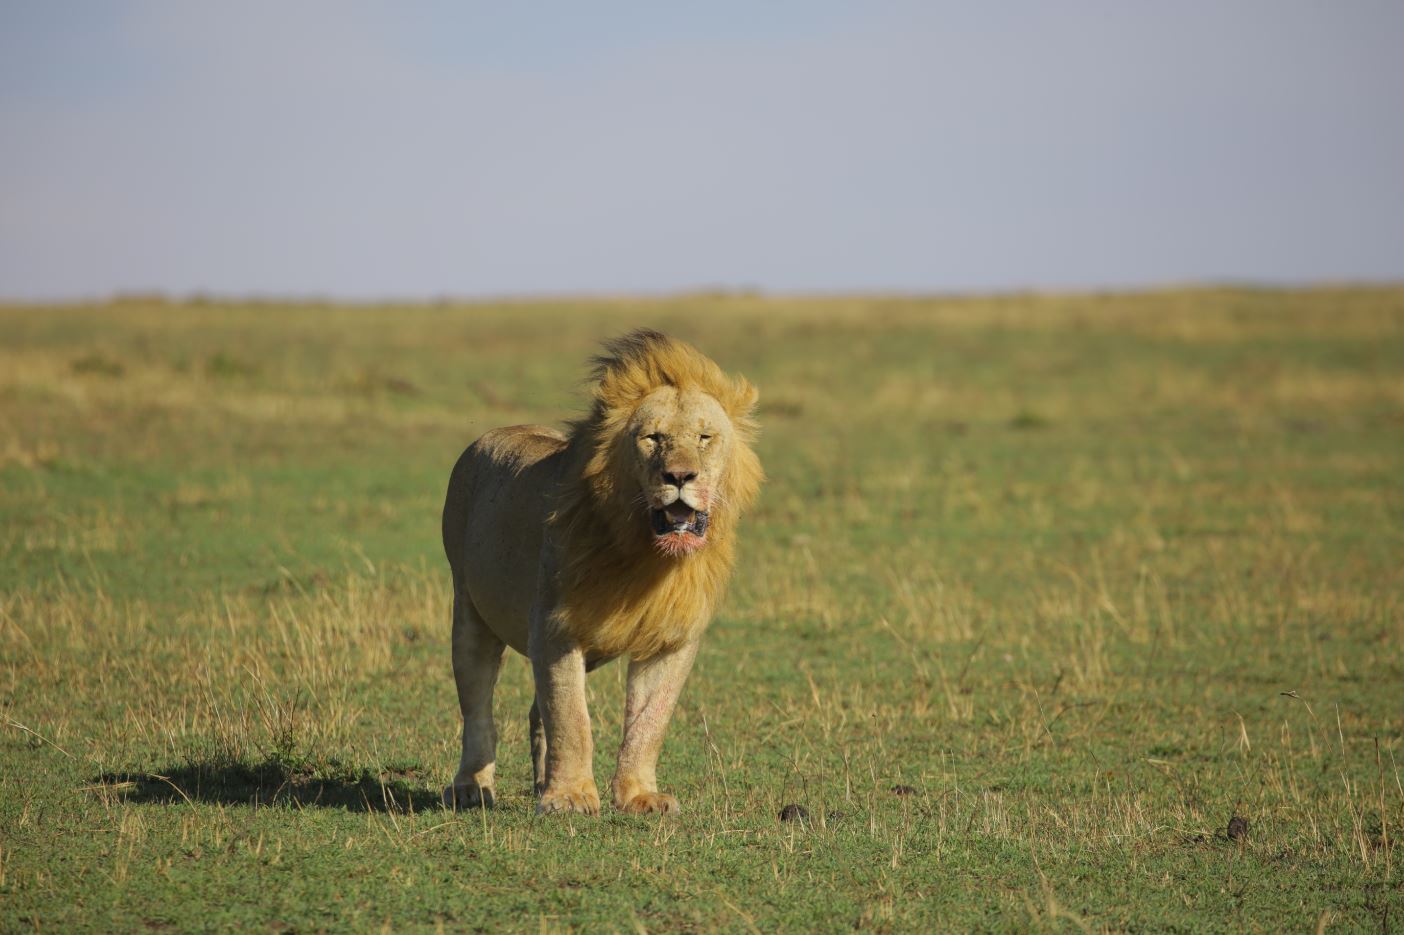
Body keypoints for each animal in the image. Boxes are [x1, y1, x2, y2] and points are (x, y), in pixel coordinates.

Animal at [440, 329, 763, 815]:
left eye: (705, 437)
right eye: (652, 437)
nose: (680, 476)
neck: (647, 556)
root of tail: (491, 434)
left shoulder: (671, 639)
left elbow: (648, 723)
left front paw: (639, 795)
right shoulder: (554, 628)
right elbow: (572, 718)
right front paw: (571, 798)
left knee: (537, 711)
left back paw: (541, 782)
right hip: (470, 612)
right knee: (477, 708)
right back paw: (472, 787)